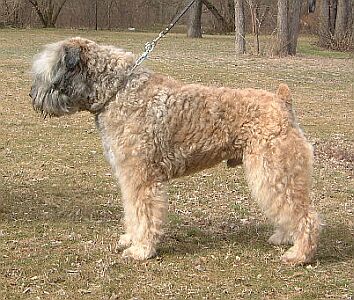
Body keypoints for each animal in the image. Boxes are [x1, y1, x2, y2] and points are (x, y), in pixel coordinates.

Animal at [29, 37, 320, 264]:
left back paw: (299, 254)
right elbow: (132, 211)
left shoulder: (141, 178)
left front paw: (141, 250)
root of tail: (282, 101)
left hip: (273, 172)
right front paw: (130, 239)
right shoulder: (129, 177)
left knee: (306, 215)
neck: (117, 92)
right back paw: (285, 238)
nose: (32, 96)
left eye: (46, 72)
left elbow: (143, 214)